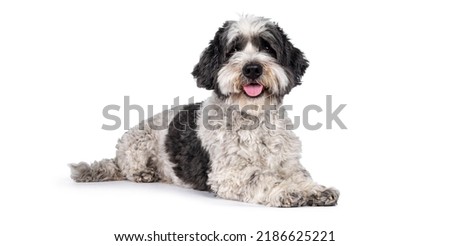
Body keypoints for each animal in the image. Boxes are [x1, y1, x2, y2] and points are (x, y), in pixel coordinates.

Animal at [69, 14, 338, 208]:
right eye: (232, 50)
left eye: (268, 49)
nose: (252, 68)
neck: (252, 118)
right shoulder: (230, 174)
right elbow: (263, 177)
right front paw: (289, 191)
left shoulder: (288, 163)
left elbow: (300, 176)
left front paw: (314, 189)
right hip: (137, 142)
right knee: (128, 166)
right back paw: (144, 173)